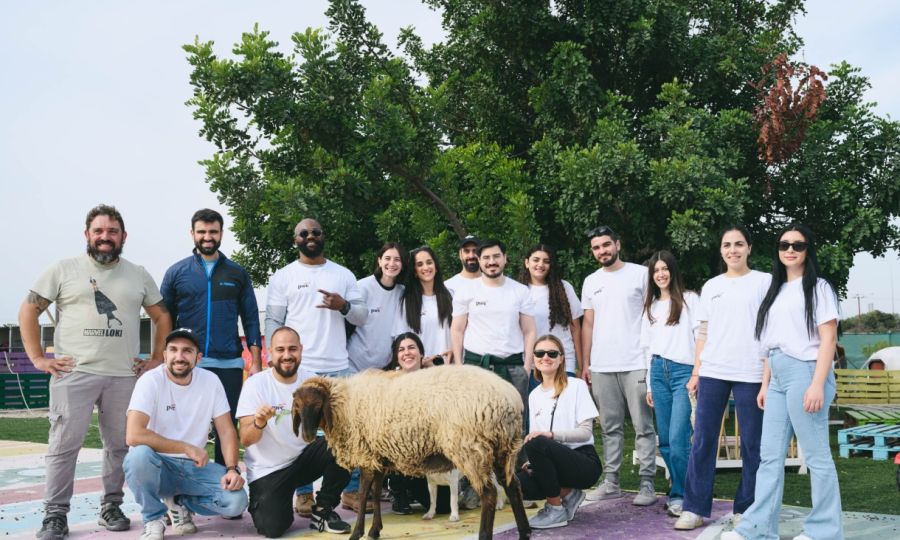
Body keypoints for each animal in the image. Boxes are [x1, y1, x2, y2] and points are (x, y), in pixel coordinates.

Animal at [292, 365, 531, 540]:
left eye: (317, 406)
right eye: (298, 407)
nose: (308, 435)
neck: (343, 403)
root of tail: (510, 400)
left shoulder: (367, 456)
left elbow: (362, 494)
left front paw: (357, 533)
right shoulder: (379, 457)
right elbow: (376, 494)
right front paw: (374, 531)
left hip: (471, 447)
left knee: (489, 494)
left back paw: (485, 534)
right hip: (502, 449)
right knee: (513, 486)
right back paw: (524, 532)